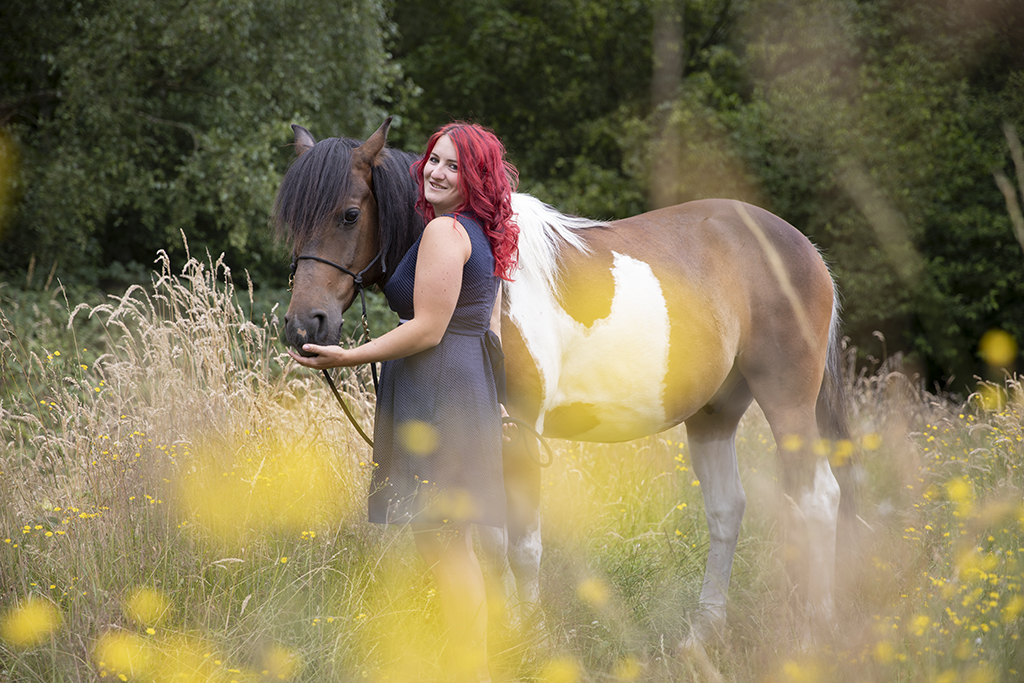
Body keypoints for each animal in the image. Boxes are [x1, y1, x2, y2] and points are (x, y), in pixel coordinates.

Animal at [273, 118, 853, 646]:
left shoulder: (522, 428)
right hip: (714, 414)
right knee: (727, 509)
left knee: (819, 498)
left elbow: (521, 545)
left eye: (349, 214)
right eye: (292, 222)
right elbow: (492, 541)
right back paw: (701, 636)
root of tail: (801, 246)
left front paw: (528, 640)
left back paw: (816, 633)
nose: (305, 326)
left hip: (787, 404)